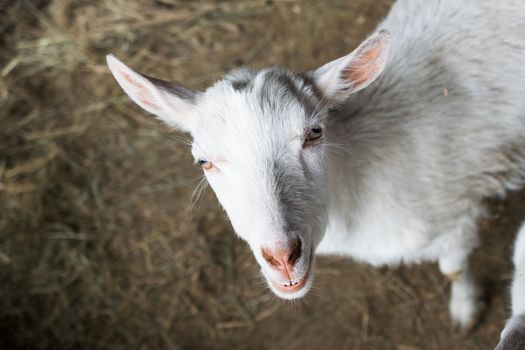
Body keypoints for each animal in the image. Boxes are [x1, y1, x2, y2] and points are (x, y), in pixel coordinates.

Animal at [106, 0, 524, 328]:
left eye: (314, 133)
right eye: (203, 161)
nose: (282, 257)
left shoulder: (454, 213)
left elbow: (454, 268)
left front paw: (466, 309)